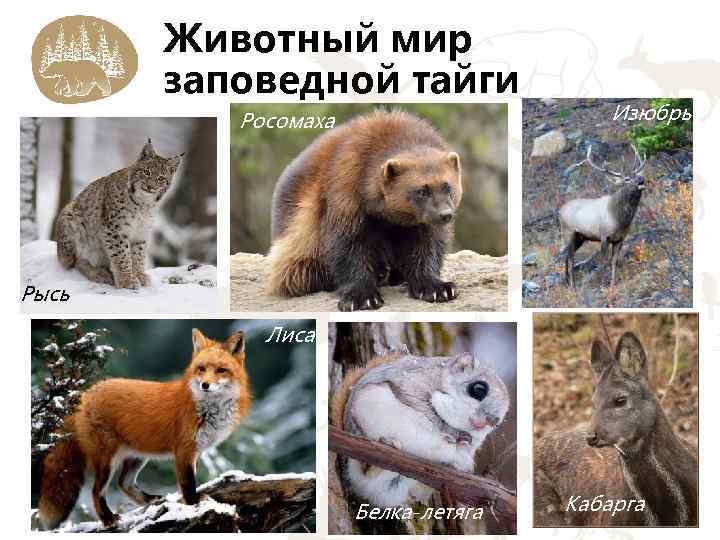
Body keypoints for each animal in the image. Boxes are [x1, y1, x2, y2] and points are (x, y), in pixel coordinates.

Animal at [37, 328, 252, 530]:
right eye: (201, 369)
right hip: (107, 460)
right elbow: (188, 485)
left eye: (221, 370)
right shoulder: (184, 450)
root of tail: (84, 394)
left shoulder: (195, 452)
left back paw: (151, 500)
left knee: (123, 483)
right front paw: (194, 506)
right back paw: (108, 519)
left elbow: (189, 483)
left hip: (137, 457)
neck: (208, 409)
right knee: (97, 490)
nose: (205, 385)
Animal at [331, 348, 509, 509]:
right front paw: (452, 432)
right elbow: (422, 407)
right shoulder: (414, 383)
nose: (484, 423)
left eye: (496, 423)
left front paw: (463, 446)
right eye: (479, 389)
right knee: (365, 467)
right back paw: (387, 444)